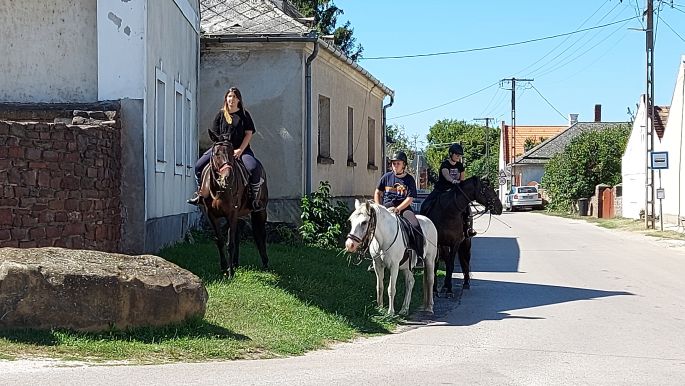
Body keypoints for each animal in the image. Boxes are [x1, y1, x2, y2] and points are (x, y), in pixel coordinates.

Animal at [196, 142, 268, 278]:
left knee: (260, 235)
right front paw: (225, 268)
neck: (219, 189)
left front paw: (230, 273)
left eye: (231, 153)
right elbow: (220, 240)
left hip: (260, 211)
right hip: (240, 215)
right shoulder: (211, 215)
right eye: (216, 154)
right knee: (238, 235)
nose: (227, 178)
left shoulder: (231, 213)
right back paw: (235, 263)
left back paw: (265, 264)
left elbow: (230, 244)